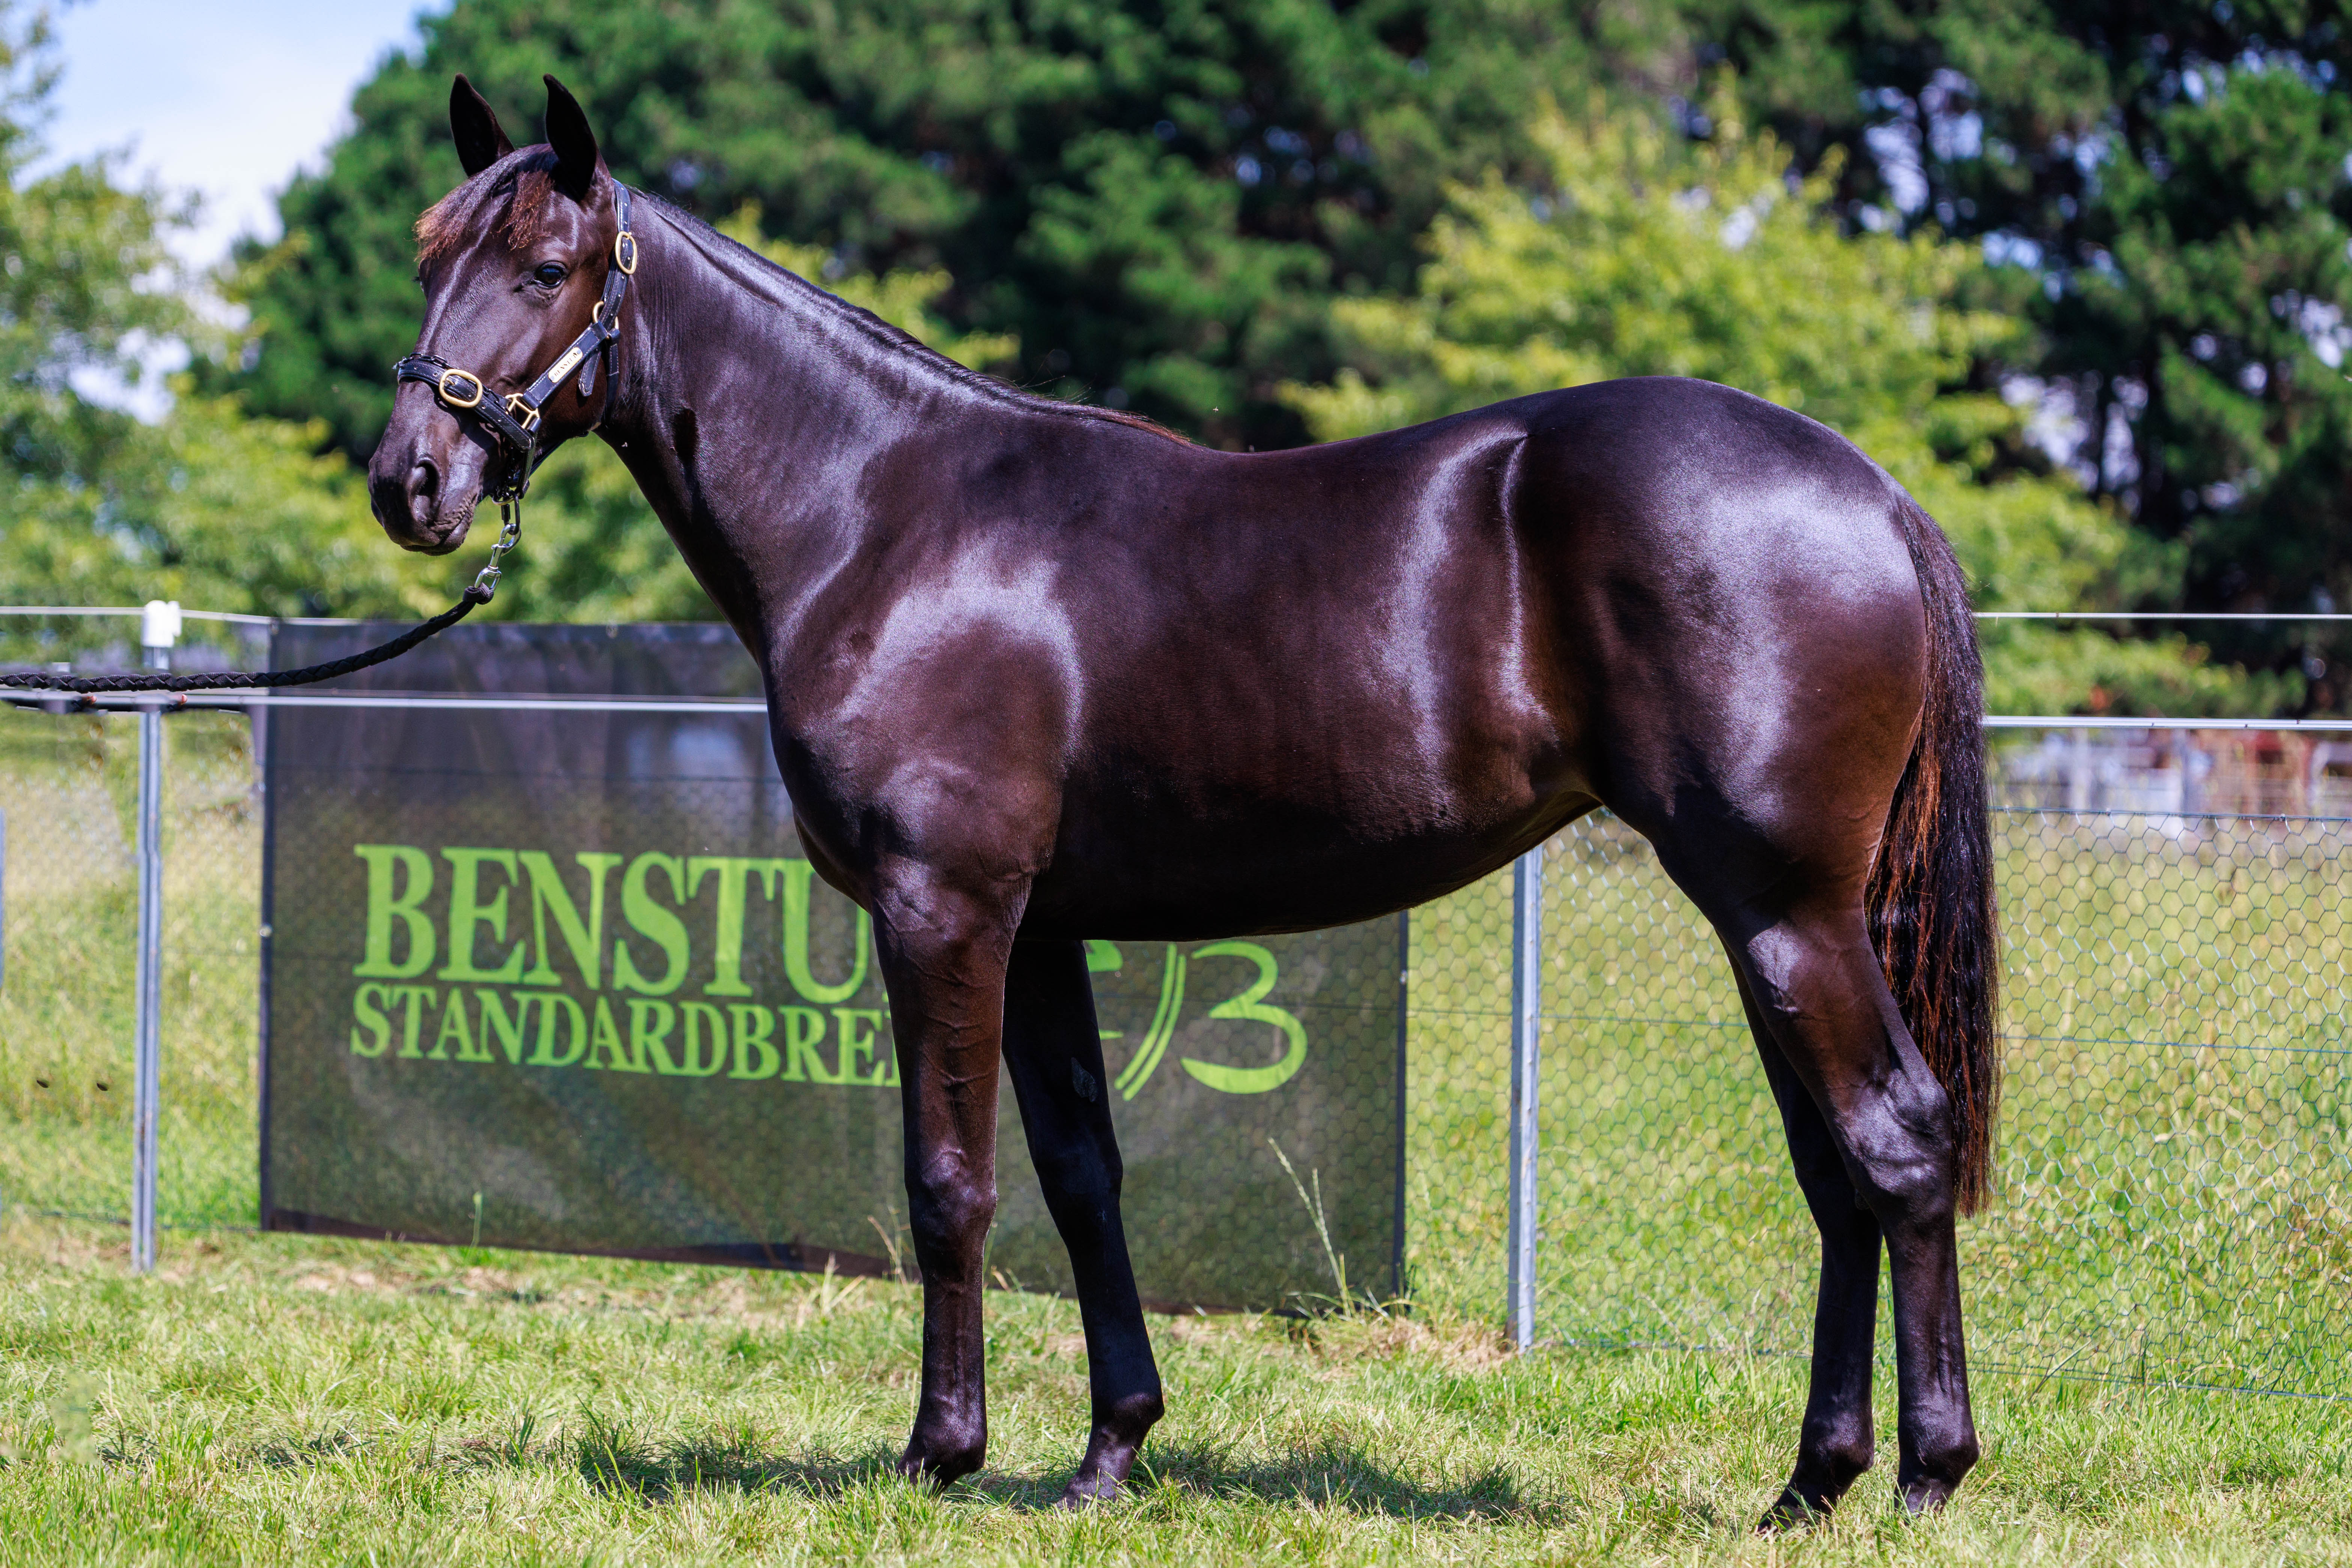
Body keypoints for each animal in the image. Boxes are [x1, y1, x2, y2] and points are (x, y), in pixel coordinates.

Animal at [368, 75, 1999, 1524]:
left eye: (545, 266)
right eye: (428, 255)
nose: (411, 482)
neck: (886, 518)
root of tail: (1869, 490)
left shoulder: (942, 907)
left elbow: (947, 1179)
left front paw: (938, 1455)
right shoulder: (1038, 929)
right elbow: (1081, 1175)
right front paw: (1109, 1450)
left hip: (1780, 905)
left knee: (1895, 1144)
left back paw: (1925, 1473)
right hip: (1774, 919)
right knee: (1835, 1172)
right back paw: (1812, 1482)